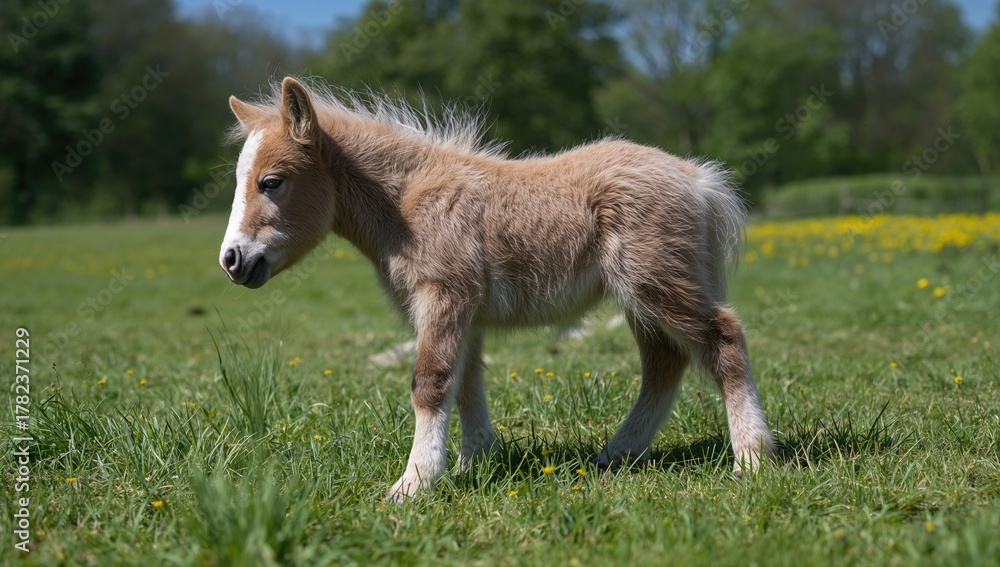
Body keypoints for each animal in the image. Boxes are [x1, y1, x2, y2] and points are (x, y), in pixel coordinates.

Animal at [219, 77, 775, 501]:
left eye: (272, 181)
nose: (231, 260)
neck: (409, 200)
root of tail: (697, 179)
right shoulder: (464, 311)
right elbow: (466, 382)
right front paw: (473, 463)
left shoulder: (444, 295)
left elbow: (431, 382)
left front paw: (413, 485)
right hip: (640, 295)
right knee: (665, 361)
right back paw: (616, 454)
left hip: (652, 279)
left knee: (722, 336)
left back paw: (752, 458)